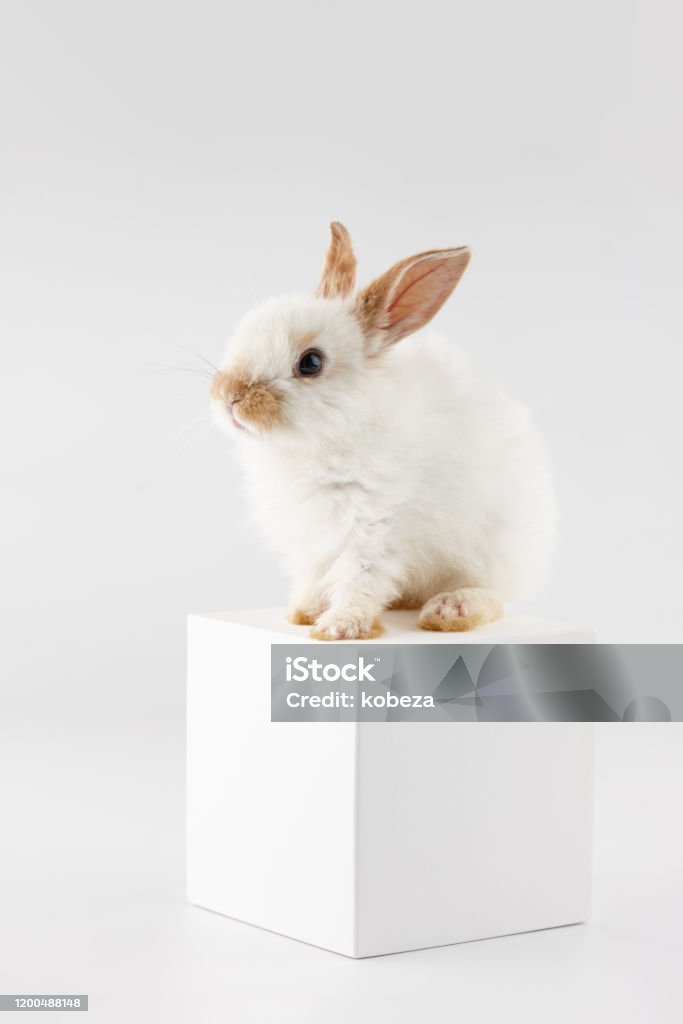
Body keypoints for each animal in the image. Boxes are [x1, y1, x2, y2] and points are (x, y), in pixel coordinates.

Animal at [211, 222, 555, 640]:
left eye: (311, 363)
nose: (229, 397)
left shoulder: (375, 528)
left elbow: (360, 579)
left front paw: (339, 628)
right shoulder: (314, 540)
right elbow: (317, 577)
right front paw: (304, 612)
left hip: (492, 552)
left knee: (494, 595)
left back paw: (450, 609)